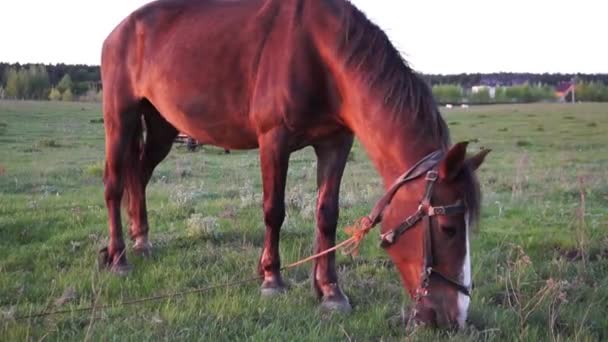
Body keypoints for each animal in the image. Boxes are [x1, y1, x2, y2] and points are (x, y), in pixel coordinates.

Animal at [100, 0, 490, 332]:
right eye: (448, 229)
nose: (456, 317)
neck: (320, 55)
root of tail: (118, 31)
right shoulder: (274, 140)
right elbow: (274, 211)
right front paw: (272, 279)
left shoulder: (335, 143)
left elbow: (327, 215)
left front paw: (330, 291)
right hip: (121, 117)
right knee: (115, 184)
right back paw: (119, 258)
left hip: (162, 125)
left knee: (139, 175)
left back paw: (142, 241)